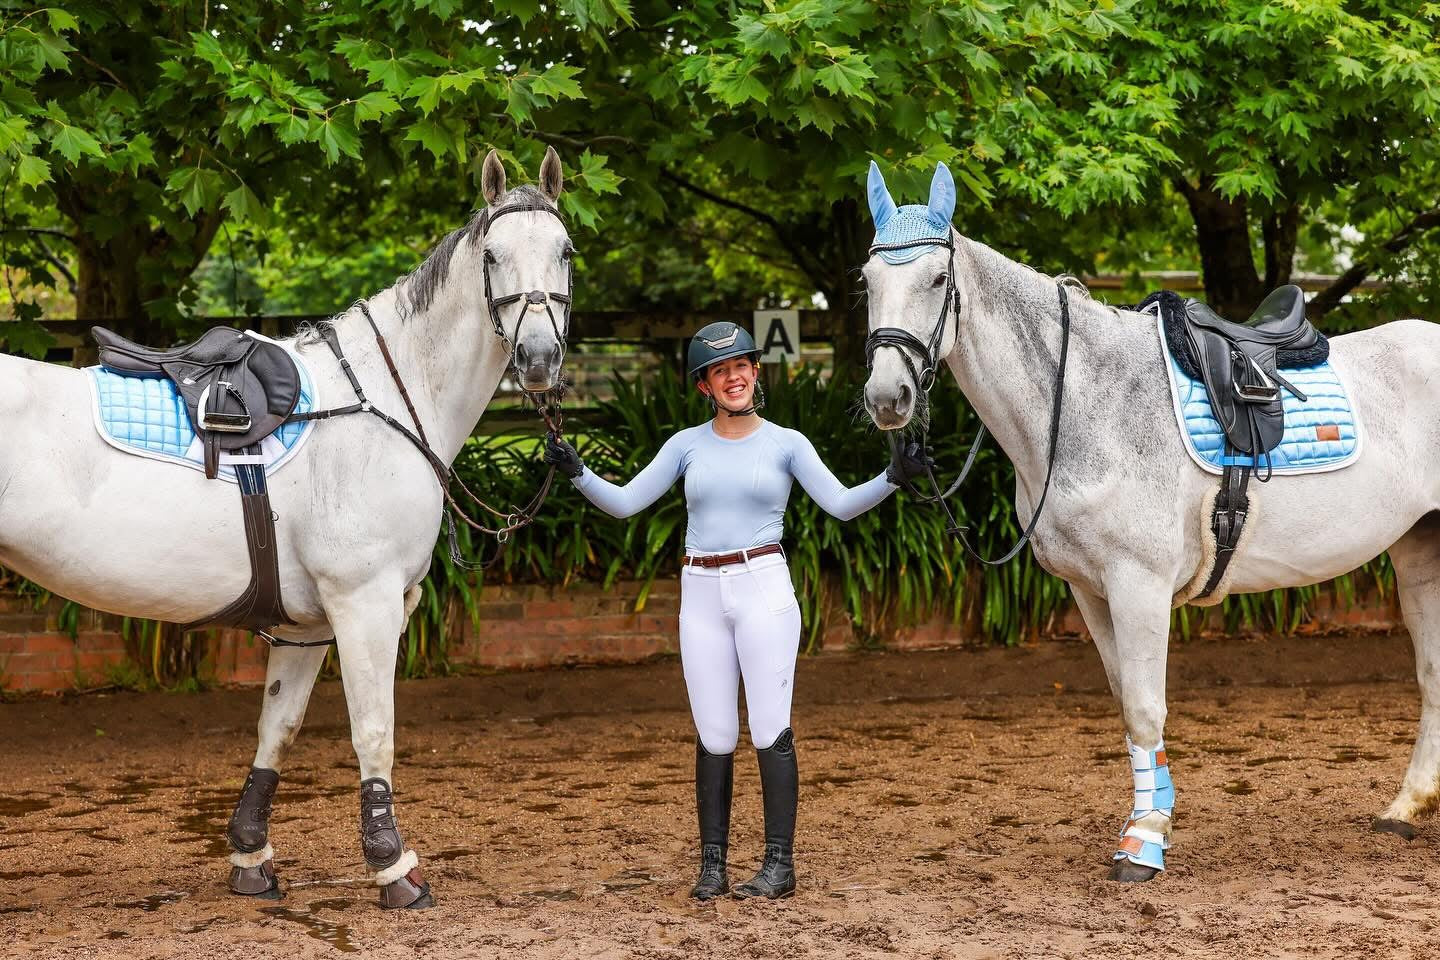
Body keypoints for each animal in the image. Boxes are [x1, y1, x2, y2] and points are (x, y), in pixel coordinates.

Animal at [0, 146, 573, 903]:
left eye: (565, 251)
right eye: (494, 255)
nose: (538, 359)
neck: (383, 398)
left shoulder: (306, 624)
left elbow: (279, 728)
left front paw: (251, 856)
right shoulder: (364, 602)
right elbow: (374, 732)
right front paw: (394, 866)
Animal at [858, 161, 1440, 880]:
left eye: (939, 279)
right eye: (868, 281)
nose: (887, 397)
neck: (1081, 399)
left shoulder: (1140, 584)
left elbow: (1143, 706)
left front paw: (1144, 841)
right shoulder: (1091, 591)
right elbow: (1126, 706)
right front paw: (1150, 818)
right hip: (1419, 552)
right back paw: (1404, 808)